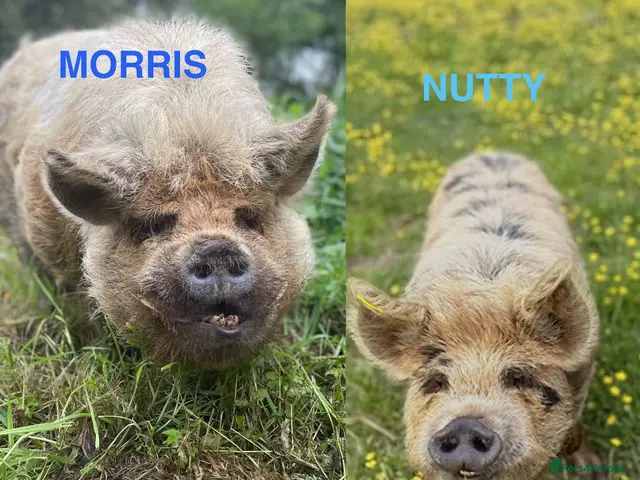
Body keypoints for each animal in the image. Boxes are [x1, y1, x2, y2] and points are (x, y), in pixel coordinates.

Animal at [348, 152, 603, 479]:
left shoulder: (585, 365)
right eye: (437, 381)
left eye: (518, 376)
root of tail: (493, 152)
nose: (465, 424)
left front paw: (592, 469)